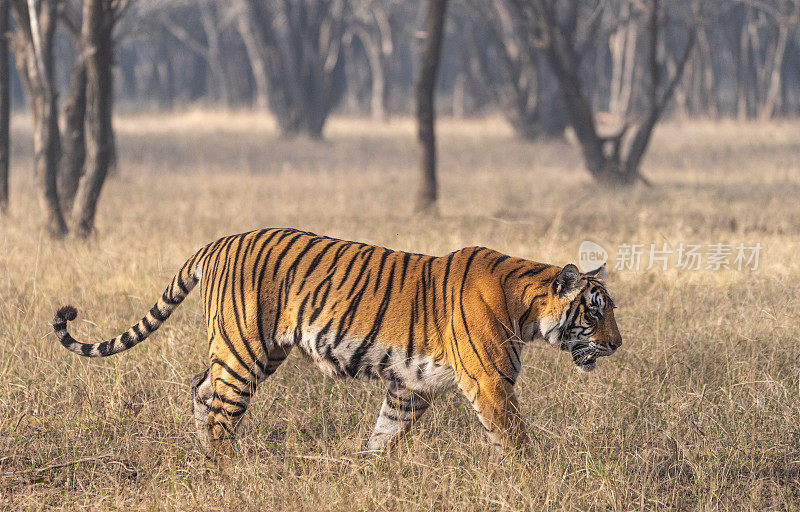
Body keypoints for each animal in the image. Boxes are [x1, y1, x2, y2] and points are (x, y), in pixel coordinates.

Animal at [53, 227, 620, 456]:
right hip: (243, 349)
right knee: (218, 408)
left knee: (200, 387)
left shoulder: (411, 385)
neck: (527, 309)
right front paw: (533, 478)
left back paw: (205, 457)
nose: (617, 345)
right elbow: (516, 440)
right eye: (595, 312)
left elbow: (385, 432)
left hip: (257, 352)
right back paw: (228, 469)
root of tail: (216, 243)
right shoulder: (490, 383)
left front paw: (368, 470)